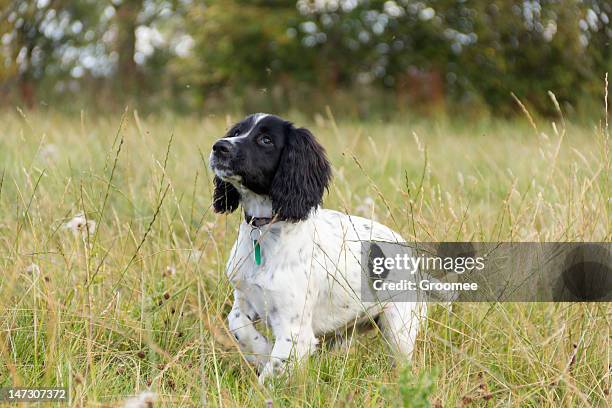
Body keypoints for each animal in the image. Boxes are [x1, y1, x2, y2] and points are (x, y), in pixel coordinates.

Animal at [210, 114, 426, 382]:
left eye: (266, 139)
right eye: (236, 132)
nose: (219, 147)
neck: (265, 231)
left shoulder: (294, 330)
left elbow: (273, 371)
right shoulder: (244, 298)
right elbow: (237, 324)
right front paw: (261, 351)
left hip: (399, 329)